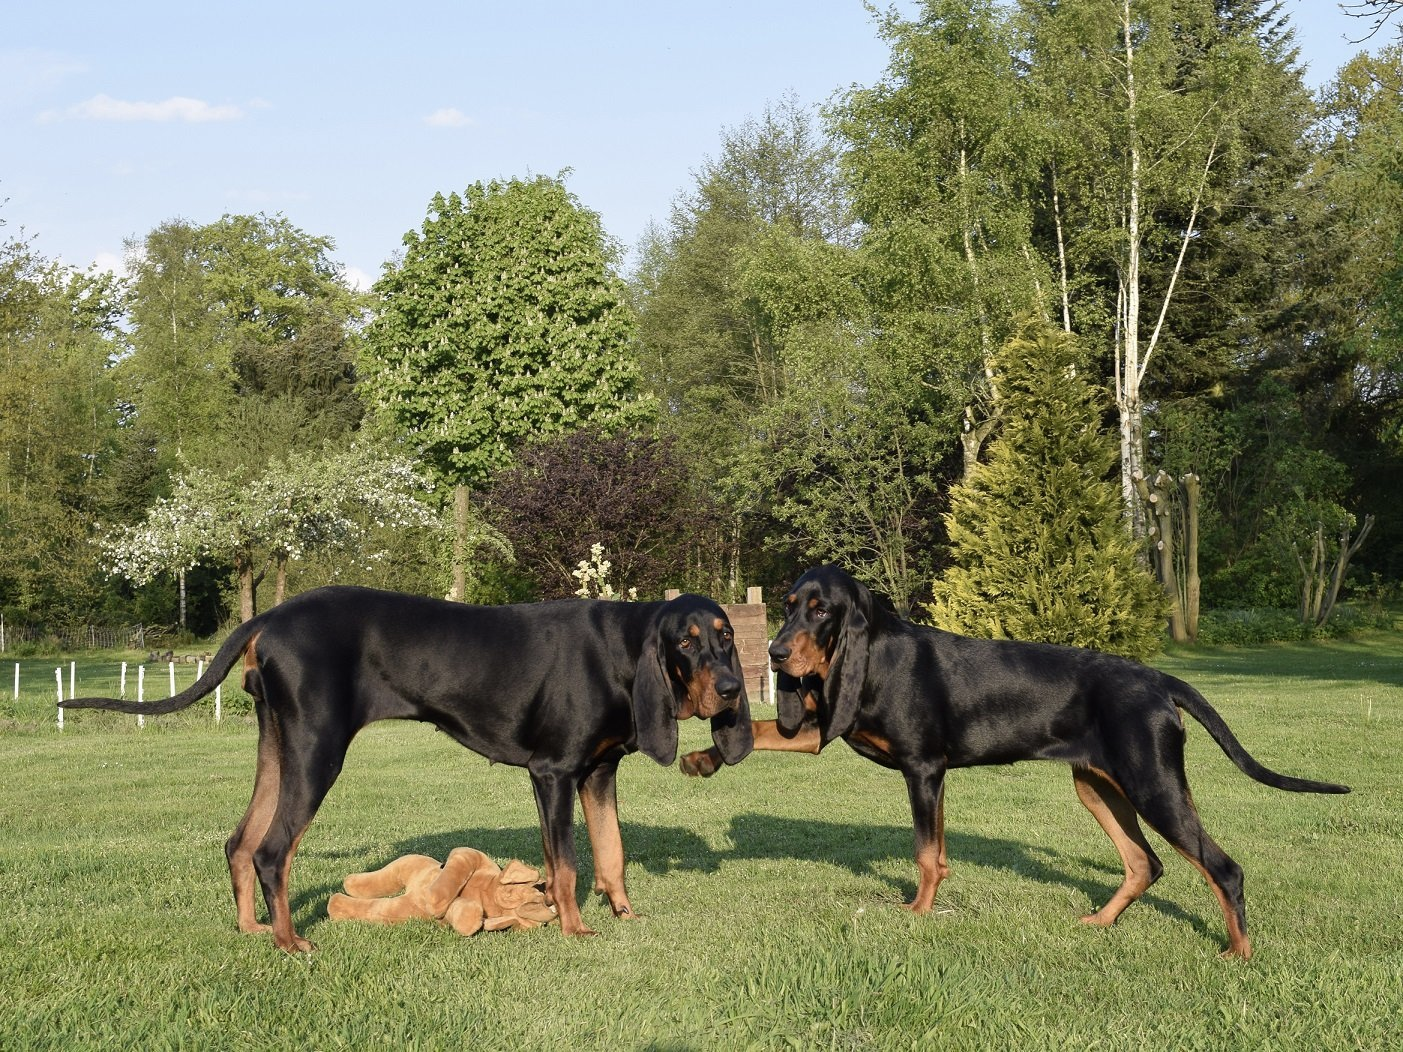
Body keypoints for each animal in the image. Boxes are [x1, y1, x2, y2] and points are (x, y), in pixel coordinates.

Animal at [64, 586, 752, 951]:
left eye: (725, 636)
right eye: (685, 641)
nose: (729, 689)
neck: (621, 649)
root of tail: (267, 617)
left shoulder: (599, 773)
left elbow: (612, 853)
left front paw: (624, 915)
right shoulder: (553, 773)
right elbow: (566, 864)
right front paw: (575, 929)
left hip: (278, 748)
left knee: (239, 841)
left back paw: (251, 929)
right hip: (317, 751)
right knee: (272, 850)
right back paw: (290, 941)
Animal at [681, 564, 1348, 958]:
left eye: (821, 610)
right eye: (790, 604)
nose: (774, 651)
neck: (878, 653)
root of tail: (1157, 680)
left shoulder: (923, 769)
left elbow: (926, 854)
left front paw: (917, 914)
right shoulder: (850, 736)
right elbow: (764, 731)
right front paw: (703, 758)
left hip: (1153, 783)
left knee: (1222, 868)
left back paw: (1238, 953)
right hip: (1098, 787)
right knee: (1145, 864)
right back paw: (1099, 924)